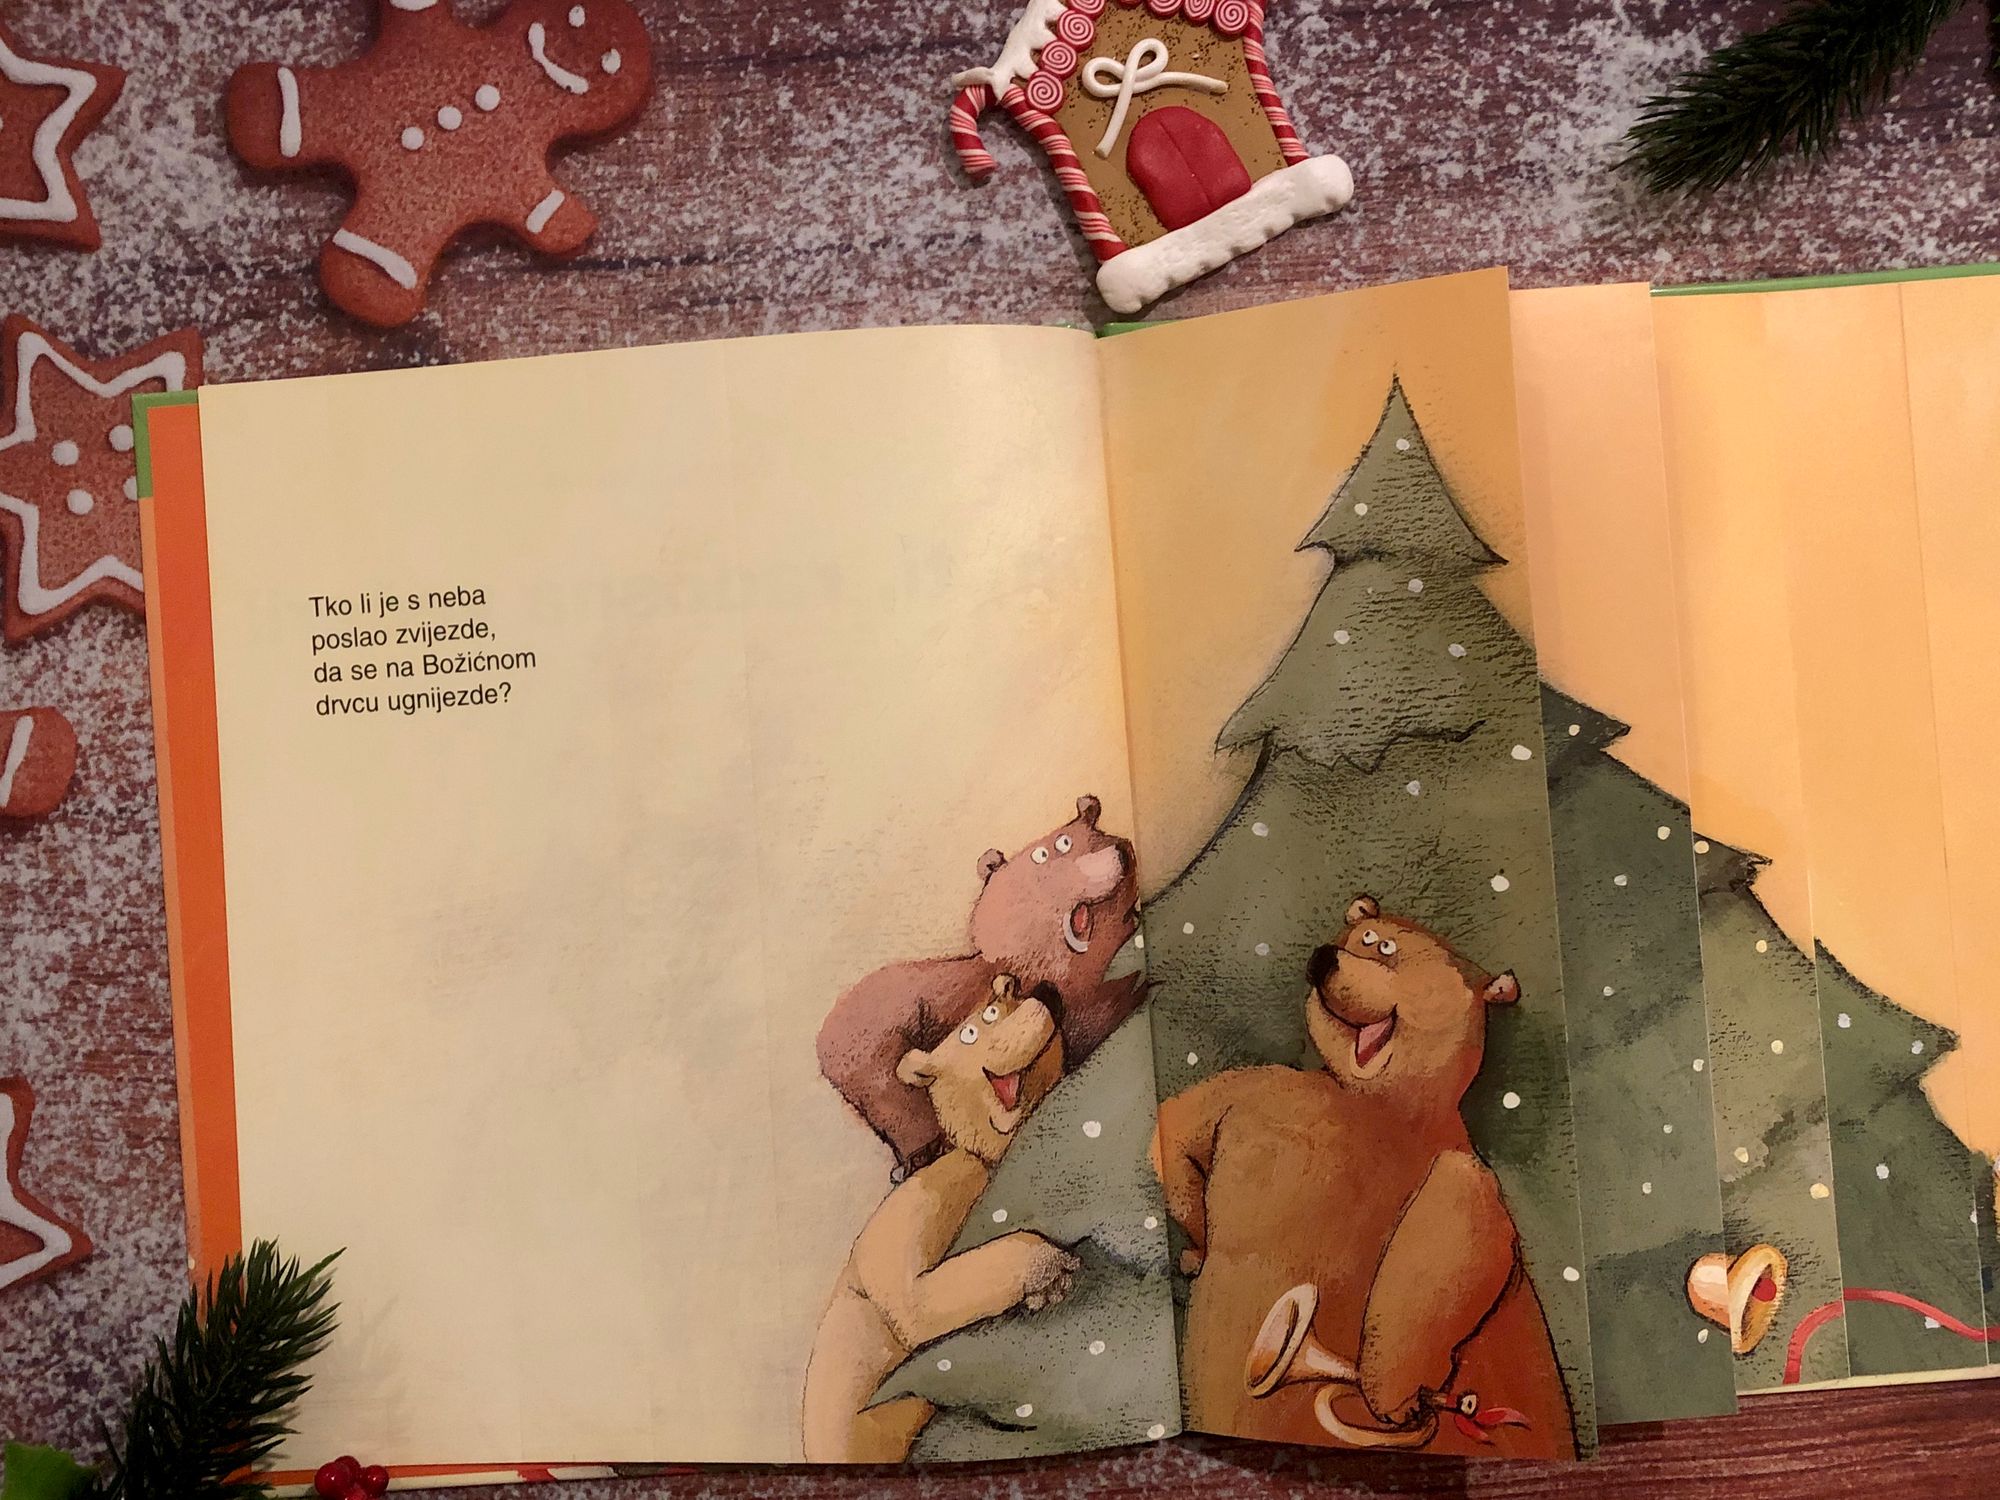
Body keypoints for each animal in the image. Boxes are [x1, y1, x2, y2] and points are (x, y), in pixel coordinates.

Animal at [802, 975, 1082, 1462]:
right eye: (975, 1028)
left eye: (1008, 988)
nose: (1046, 990)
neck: (976, 1153)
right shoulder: (916, 1209)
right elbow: (916, 1302)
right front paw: (1047, 1269)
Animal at [1151, 895, 1575, 1459]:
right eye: (1360, 938)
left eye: (1386, 949)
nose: (1322, 957)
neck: (1369, 1104)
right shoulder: (1251, 1090)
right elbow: (1173, 1128)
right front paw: (1196, 1249)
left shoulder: (1462, 1173)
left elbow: (1462, 1226)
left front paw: (1392, 1398)